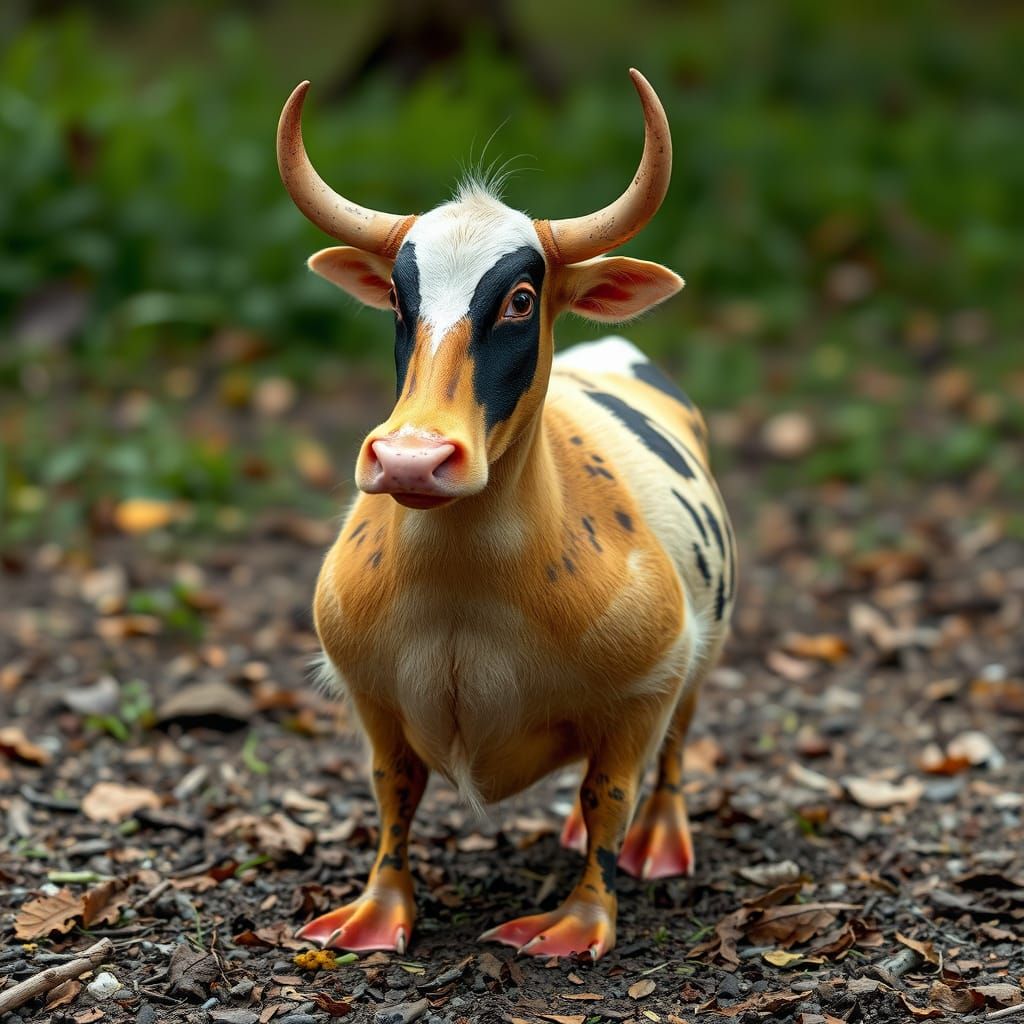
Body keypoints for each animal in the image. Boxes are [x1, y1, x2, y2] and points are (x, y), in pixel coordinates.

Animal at [277, 69, 736, 960]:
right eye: (398, 297)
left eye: (521, 299)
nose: (412, 457)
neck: (466, 587)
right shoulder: (372, 699)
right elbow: (395, 791)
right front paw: (377, 910)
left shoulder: (648, 687)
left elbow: (610, 791)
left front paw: (582, 919)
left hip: (701, 659)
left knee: (670, 754)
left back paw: (659, 838)